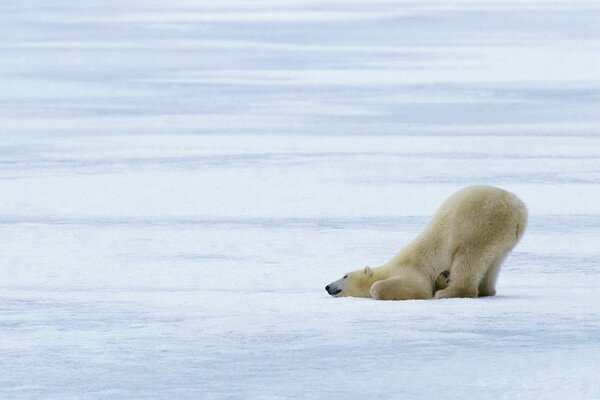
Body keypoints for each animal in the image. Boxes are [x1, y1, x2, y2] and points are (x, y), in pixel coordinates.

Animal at [326, 185, 528, 300]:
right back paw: (485, 289)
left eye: (344, 275)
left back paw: (449, 292)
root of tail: (518, 208)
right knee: (494, 262)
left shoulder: (411, 270)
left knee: (468, 257)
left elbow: (411, 288)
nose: (327, 286)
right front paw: (442, 279)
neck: (388, 269)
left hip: (478, 224)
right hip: (502, 237)